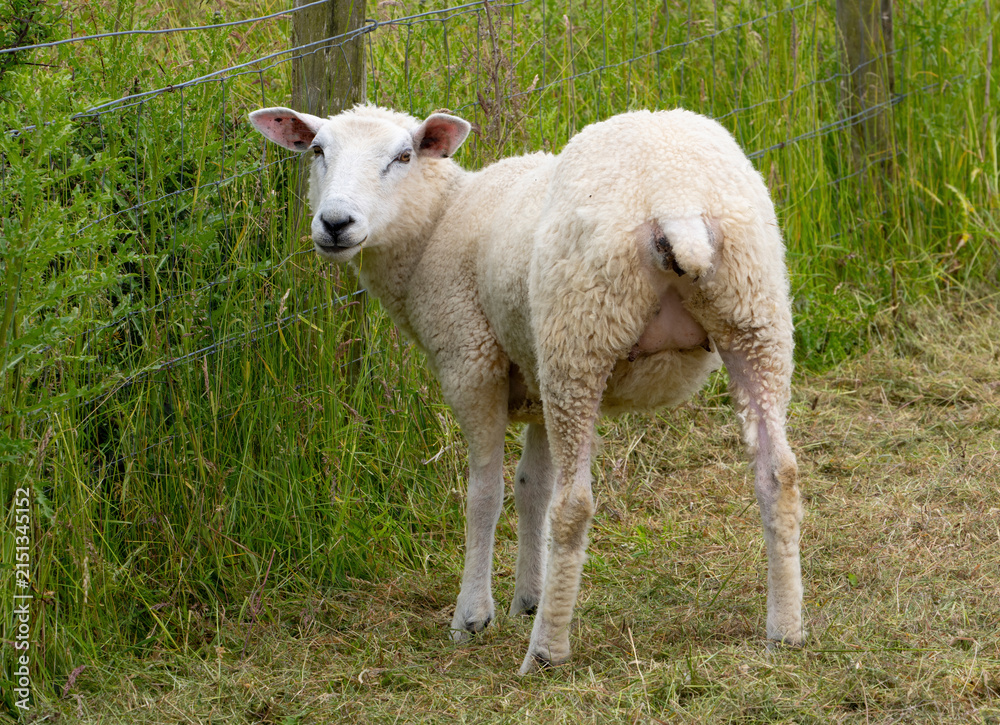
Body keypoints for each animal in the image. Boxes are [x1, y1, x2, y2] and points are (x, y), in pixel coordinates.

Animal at [249, 104, 804, 674]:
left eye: (403, 157)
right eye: (318, 151)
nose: (335, 223)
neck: (437, 225)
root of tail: (676, 202)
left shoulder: (471, 363)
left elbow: (486, 495)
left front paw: (473, 615)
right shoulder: (534, 382)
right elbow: (531, 487)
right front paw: (528, 597)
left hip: (578, 338)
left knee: (575, 504)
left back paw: (545, 651)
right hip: (755, 318)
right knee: (778, 474)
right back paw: (784, 629)